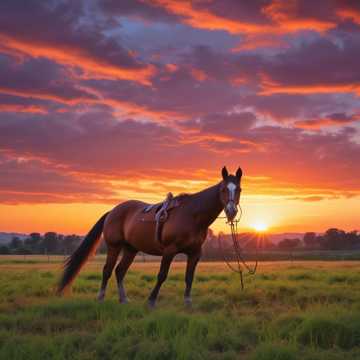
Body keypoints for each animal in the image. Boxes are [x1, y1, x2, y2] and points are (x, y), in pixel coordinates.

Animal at [57, 166, 243, 306]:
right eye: (223, 189)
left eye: (239, 189)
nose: (231, 211)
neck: (192, 215)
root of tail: (113, 211)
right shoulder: (169, 251)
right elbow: (162, 275)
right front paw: (151, 301)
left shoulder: (195, 253)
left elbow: (189, 277)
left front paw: (188, 302)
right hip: (114, 247)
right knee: (107, 270)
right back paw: (101, 297)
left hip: (130, 250)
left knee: (119, 271)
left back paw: (123, 299)